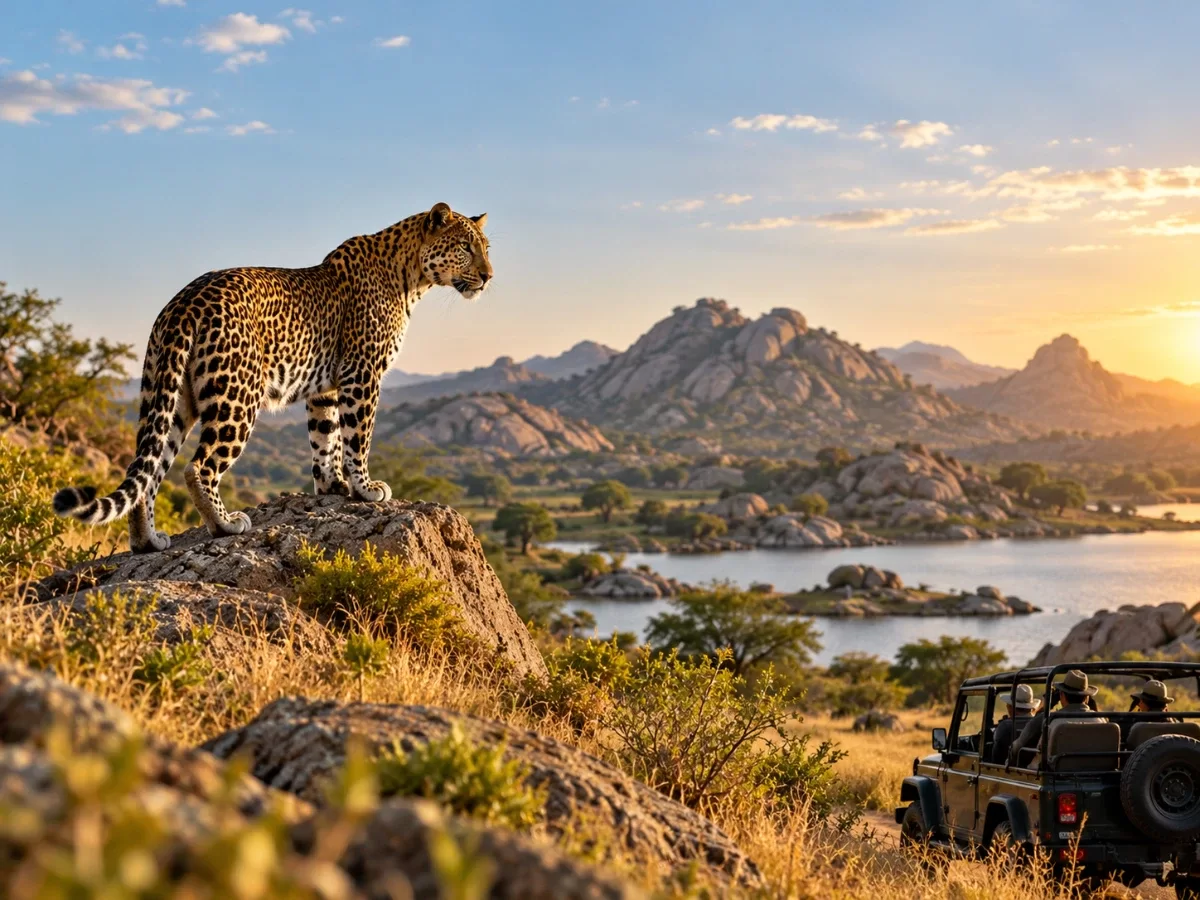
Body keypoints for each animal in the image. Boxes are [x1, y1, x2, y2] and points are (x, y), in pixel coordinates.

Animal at [53, 202, 492, 553]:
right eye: (465, 247)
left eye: (487, 248)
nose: (488, 276)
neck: (410, 276)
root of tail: (184, 302)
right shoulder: (362, 374)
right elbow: (358, 437)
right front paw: (367, 489)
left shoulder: (325, 389)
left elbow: (325, 438)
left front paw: (333, 487)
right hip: (236, 396)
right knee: (199, 467)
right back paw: (225, 525)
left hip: (169, 398)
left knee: (146, 468)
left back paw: (147, 542)